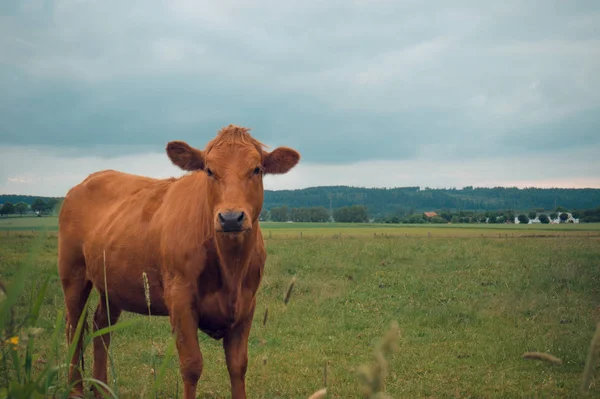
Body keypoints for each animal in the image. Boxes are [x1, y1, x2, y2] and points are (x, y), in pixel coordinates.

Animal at [58, 123, 300, 398]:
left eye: (257, 169)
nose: (230, 218)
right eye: (209, 170)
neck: (231, 269)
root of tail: (89, 179)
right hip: (72, 274)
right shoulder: (180, 299)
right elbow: (192, 365)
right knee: (74, 329)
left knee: (101, 326)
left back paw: (102, 388)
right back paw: (76, 389)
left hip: (111, 284)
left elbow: (238, 365)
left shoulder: (247, 304)